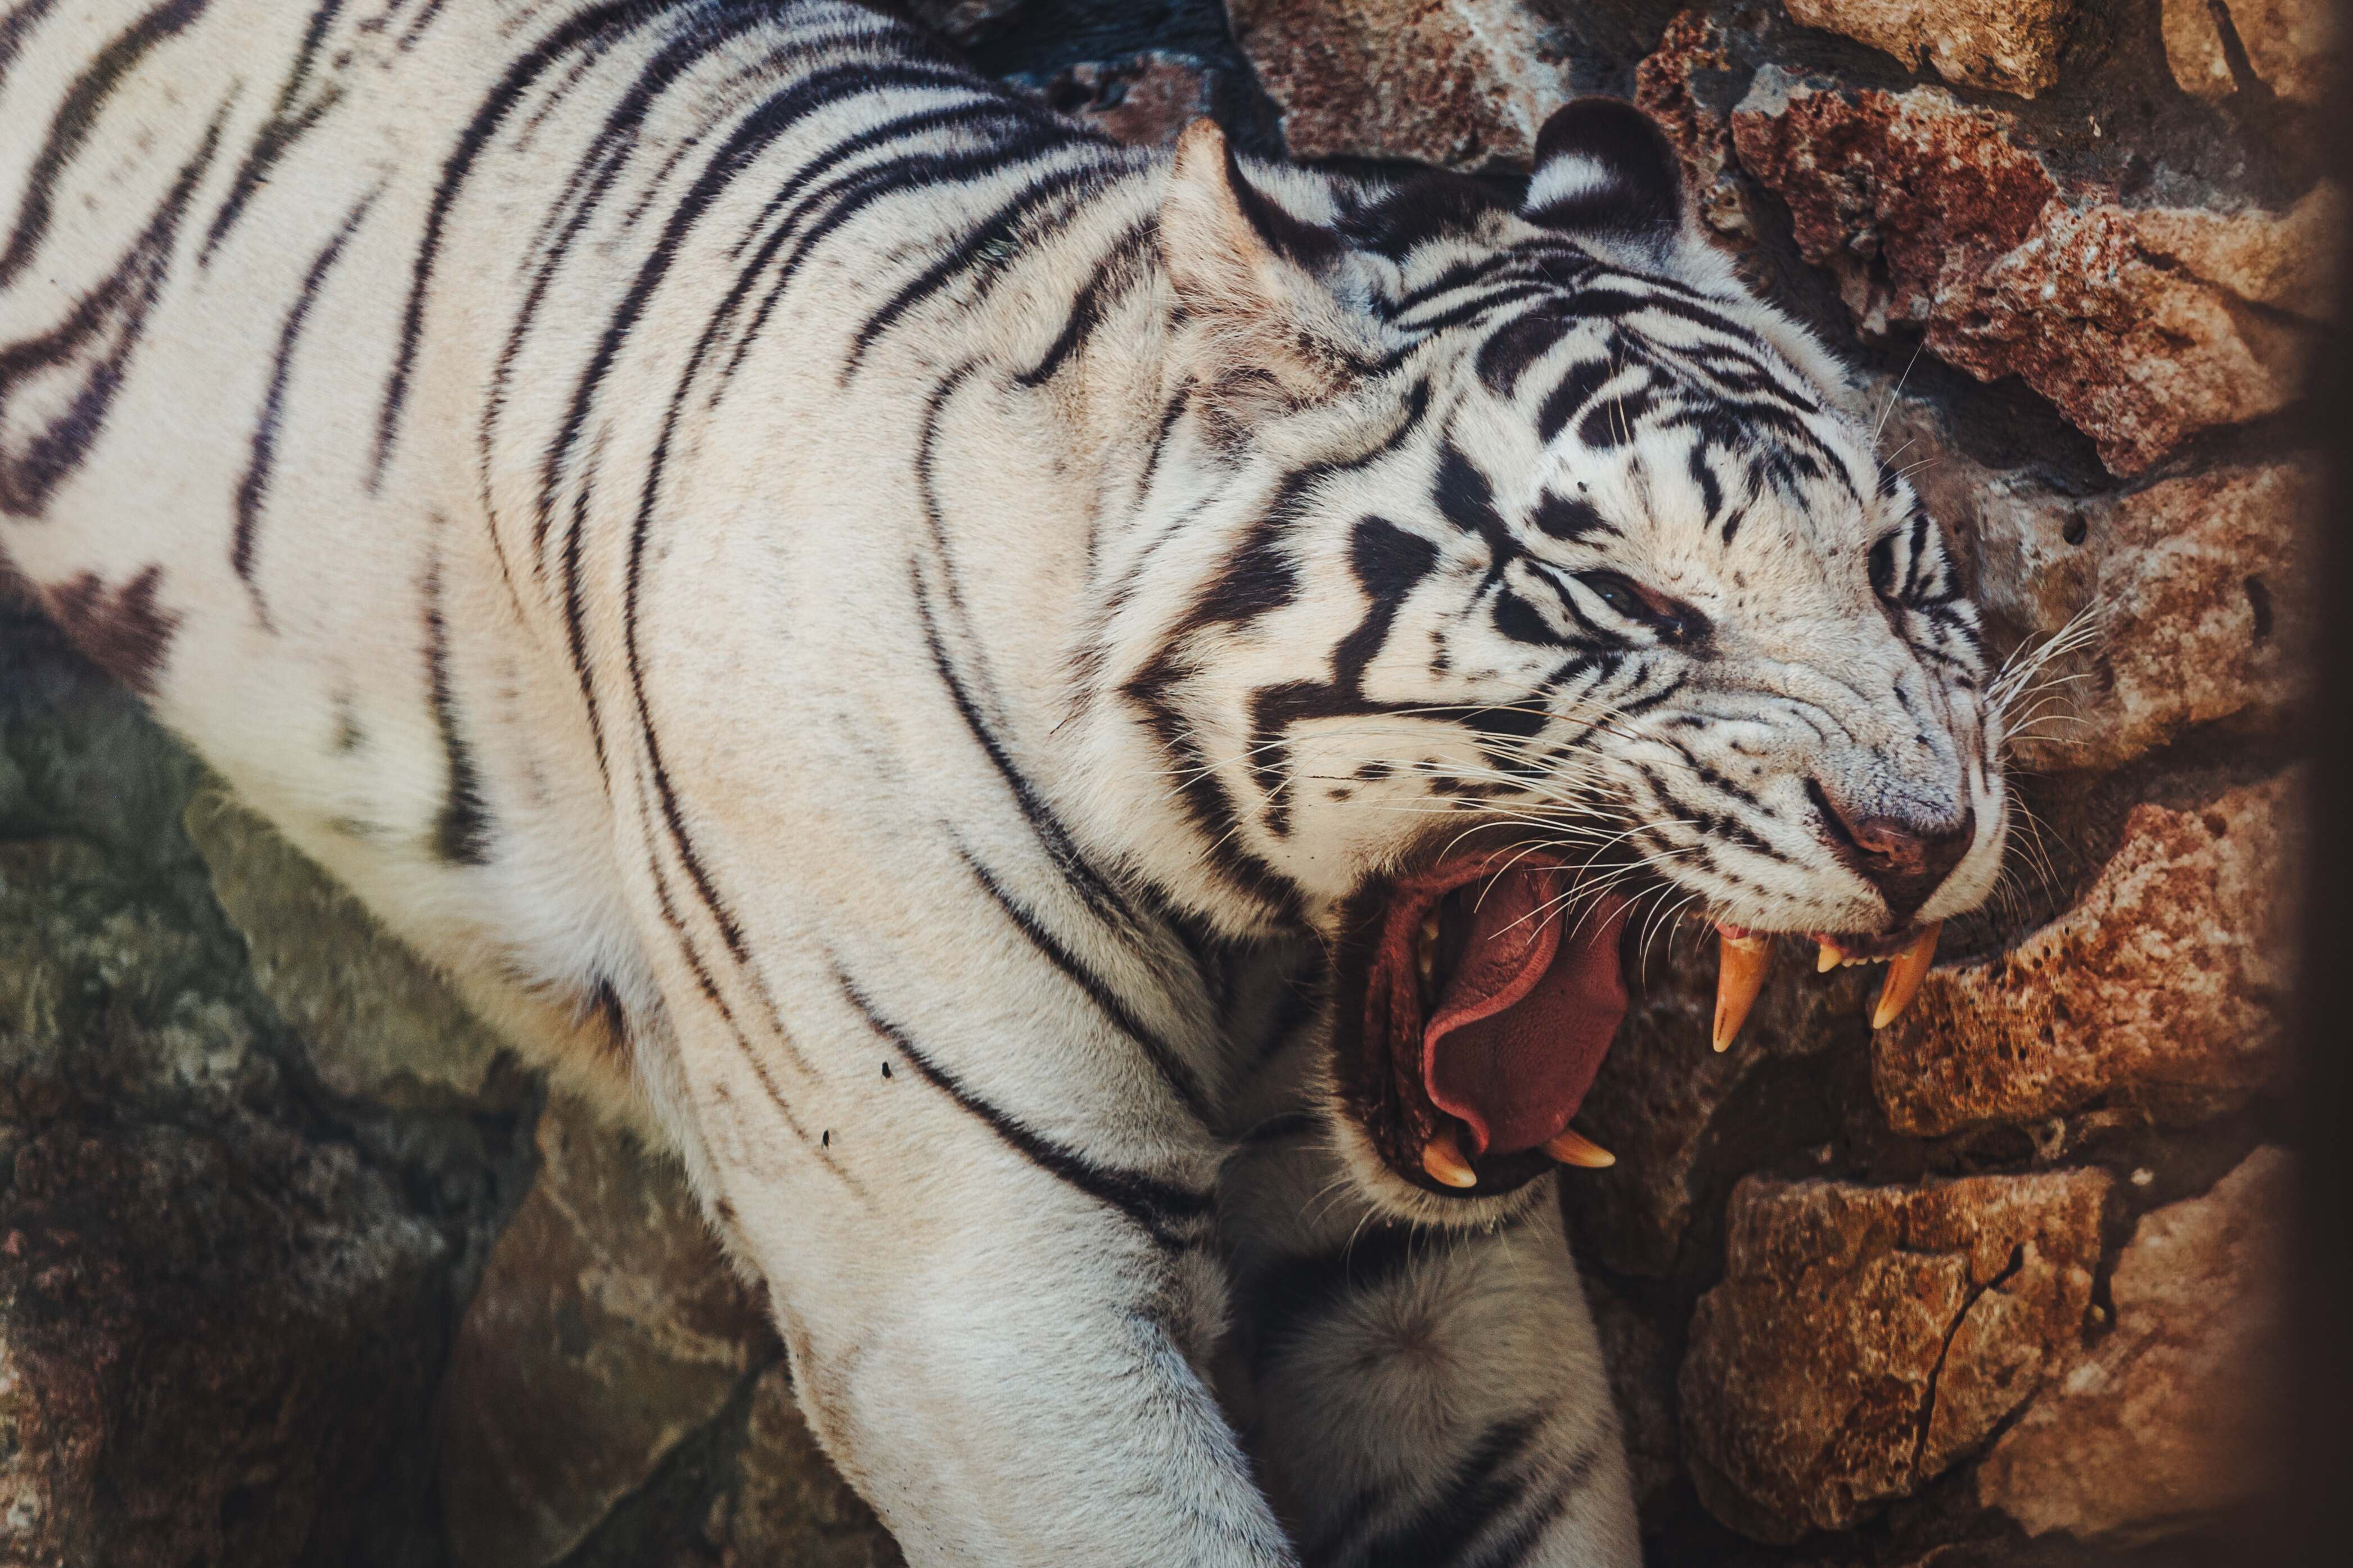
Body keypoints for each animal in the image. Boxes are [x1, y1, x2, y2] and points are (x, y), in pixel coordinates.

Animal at [0, 6, 2004, 1561]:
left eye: (1896, 570)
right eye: (1638, 599)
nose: (1924, 835)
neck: (1253, 934)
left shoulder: (1432, 1284)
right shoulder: (982, 1299)